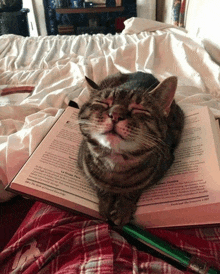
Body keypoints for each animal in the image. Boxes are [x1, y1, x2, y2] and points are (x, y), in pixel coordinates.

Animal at [77, 71, 184, 226]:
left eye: (138, 109)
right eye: (103, 103)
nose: (115, 114)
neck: (114, 164)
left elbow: (133, 191)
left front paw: (123, 210)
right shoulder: (84, 167)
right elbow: (99, 187)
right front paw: (105, 206)